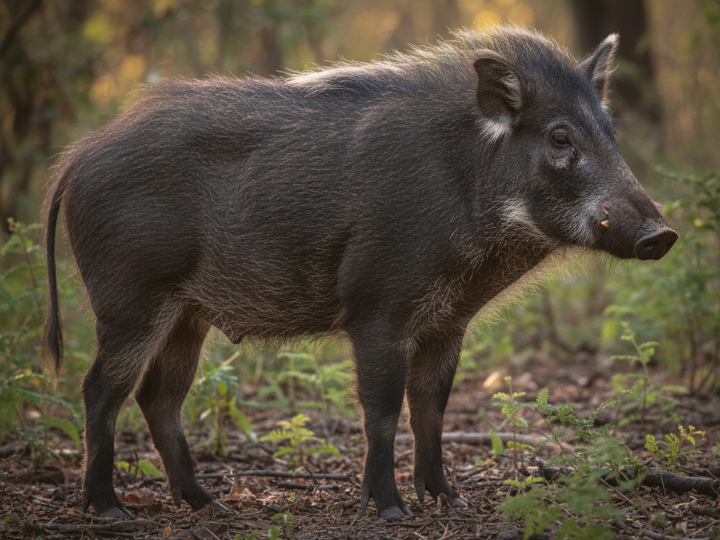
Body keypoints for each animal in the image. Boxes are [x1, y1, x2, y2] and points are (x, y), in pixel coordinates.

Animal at [42, 26, 677, 519]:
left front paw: (448, 501)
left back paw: (208, 505)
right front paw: (392, 510)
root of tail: (75, 158)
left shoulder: (448, 323)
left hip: (186, 313)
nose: (662, 234)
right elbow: (382, 412)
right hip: (130, 300)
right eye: (560, 137)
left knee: (159, 397)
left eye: (611, 131)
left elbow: (431, 409)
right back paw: (110, 510)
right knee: (100, 389)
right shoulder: (379, 310)